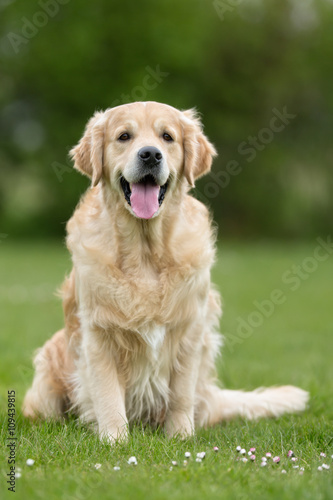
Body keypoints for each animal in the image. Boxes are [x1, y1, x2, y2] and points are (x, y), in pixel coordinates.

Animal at [22, 100, 308, 442]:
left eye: (167, 137)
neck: (146, 253)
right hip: (49, 364)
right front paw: (114, 440)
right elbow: (107, 393)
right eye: (124, 136)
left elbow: (181, 393)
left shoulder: (190, 329)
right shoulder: (98, 332)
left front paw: (181, 436)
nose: (150, 154)